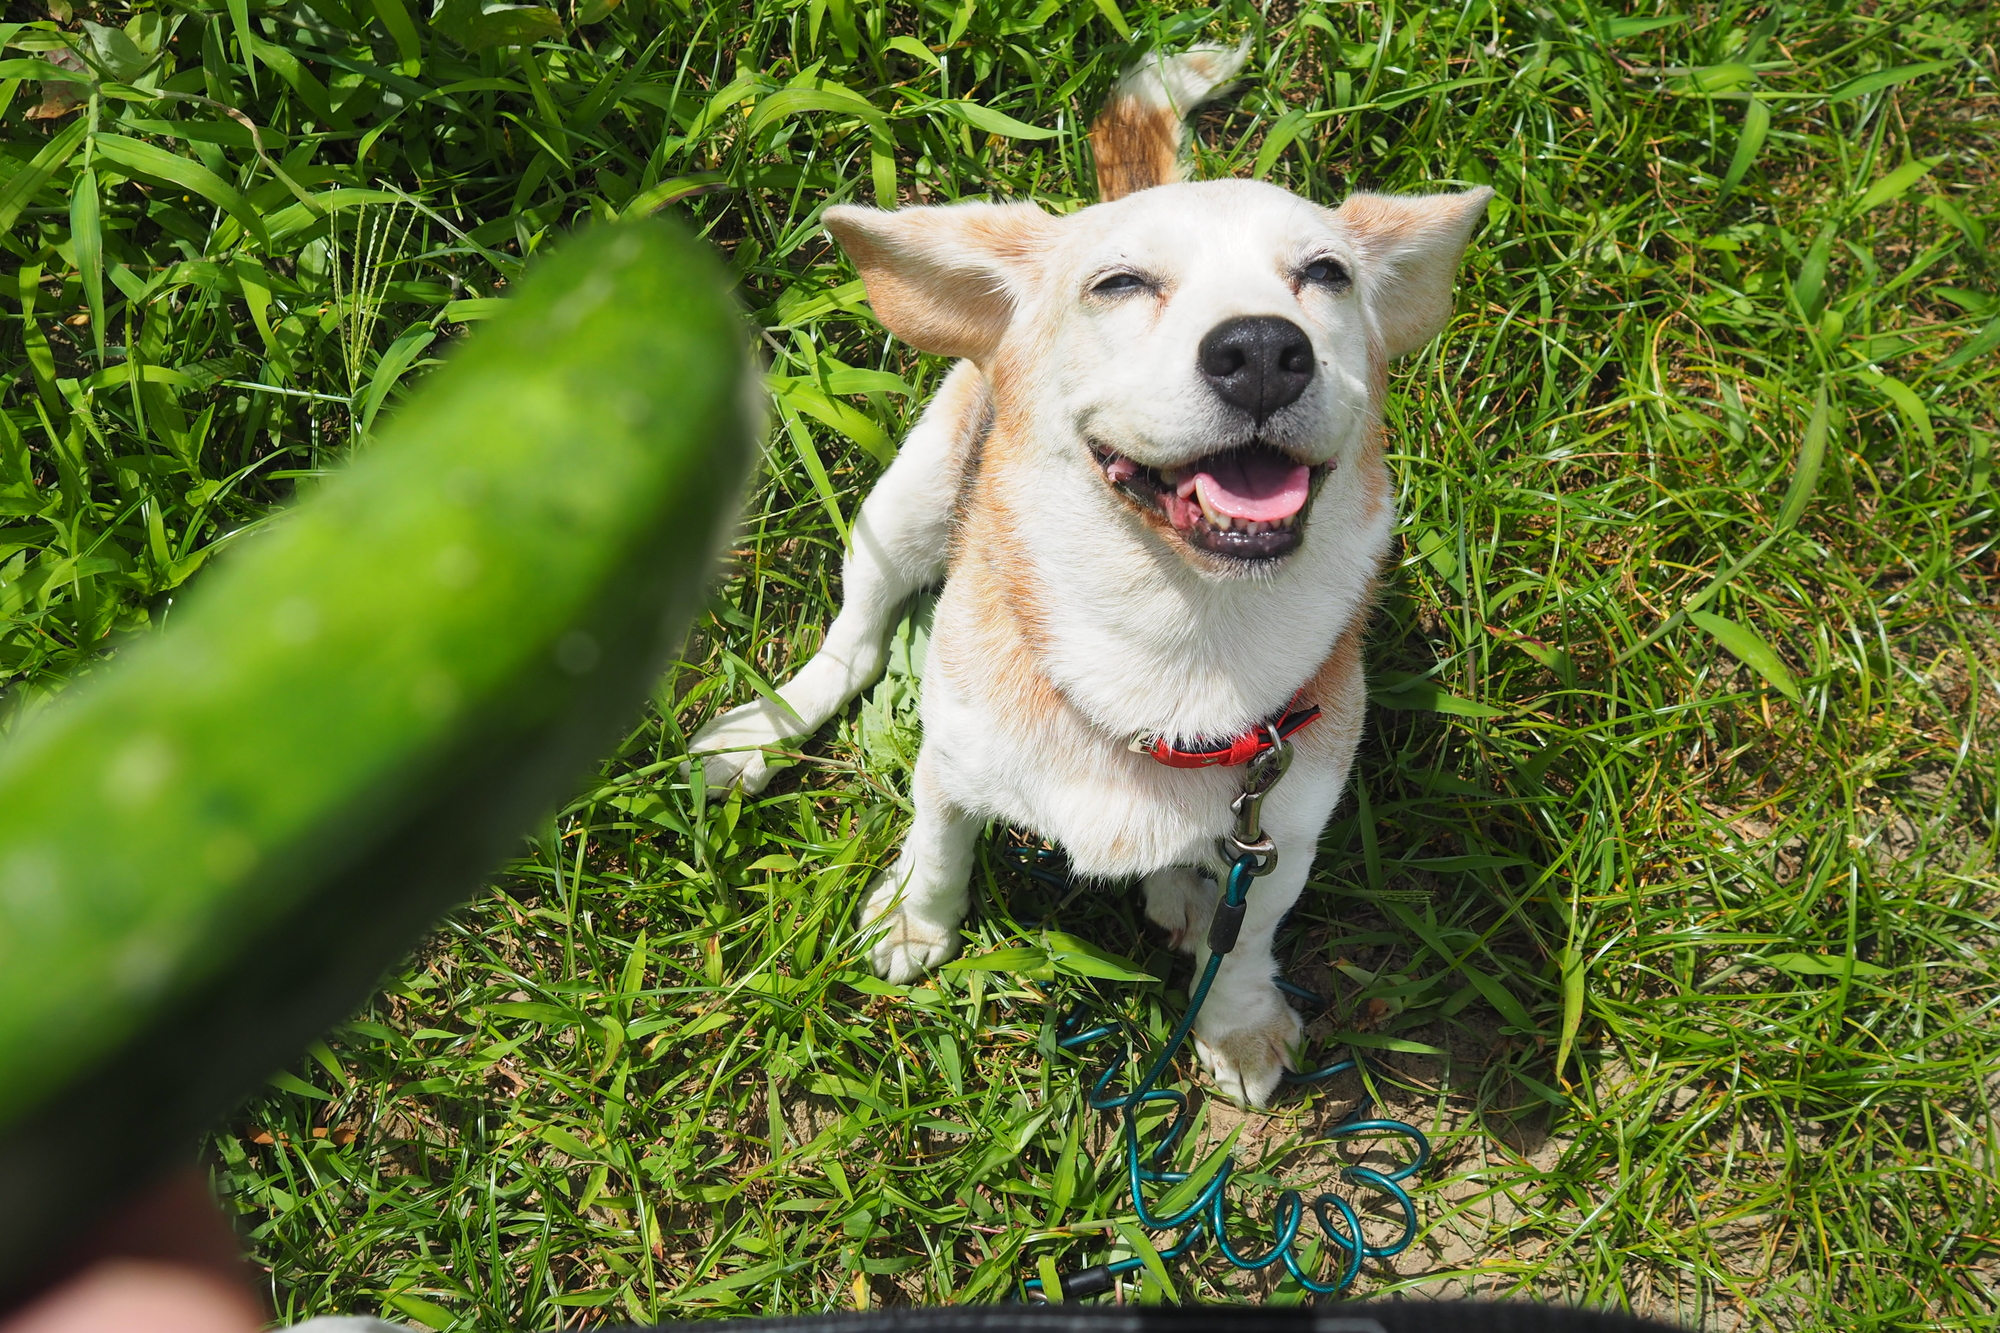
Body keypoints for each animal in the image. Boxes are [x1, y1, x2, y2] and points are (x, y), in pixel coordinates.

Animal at [688, 46, 1488, 1096]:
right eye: (1119, 284)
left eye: (1326, 275)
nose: (1261, 346)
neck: (1179, 632)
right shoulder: (951, 764)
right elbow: (938, 848)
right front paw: (917, 920)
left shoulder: (1279, 836)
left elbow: (1248, 937)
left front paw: (1235, 1021)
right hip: (903, 507)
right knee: (853, 646)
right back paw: (763, 732)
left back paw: (1181, 893)